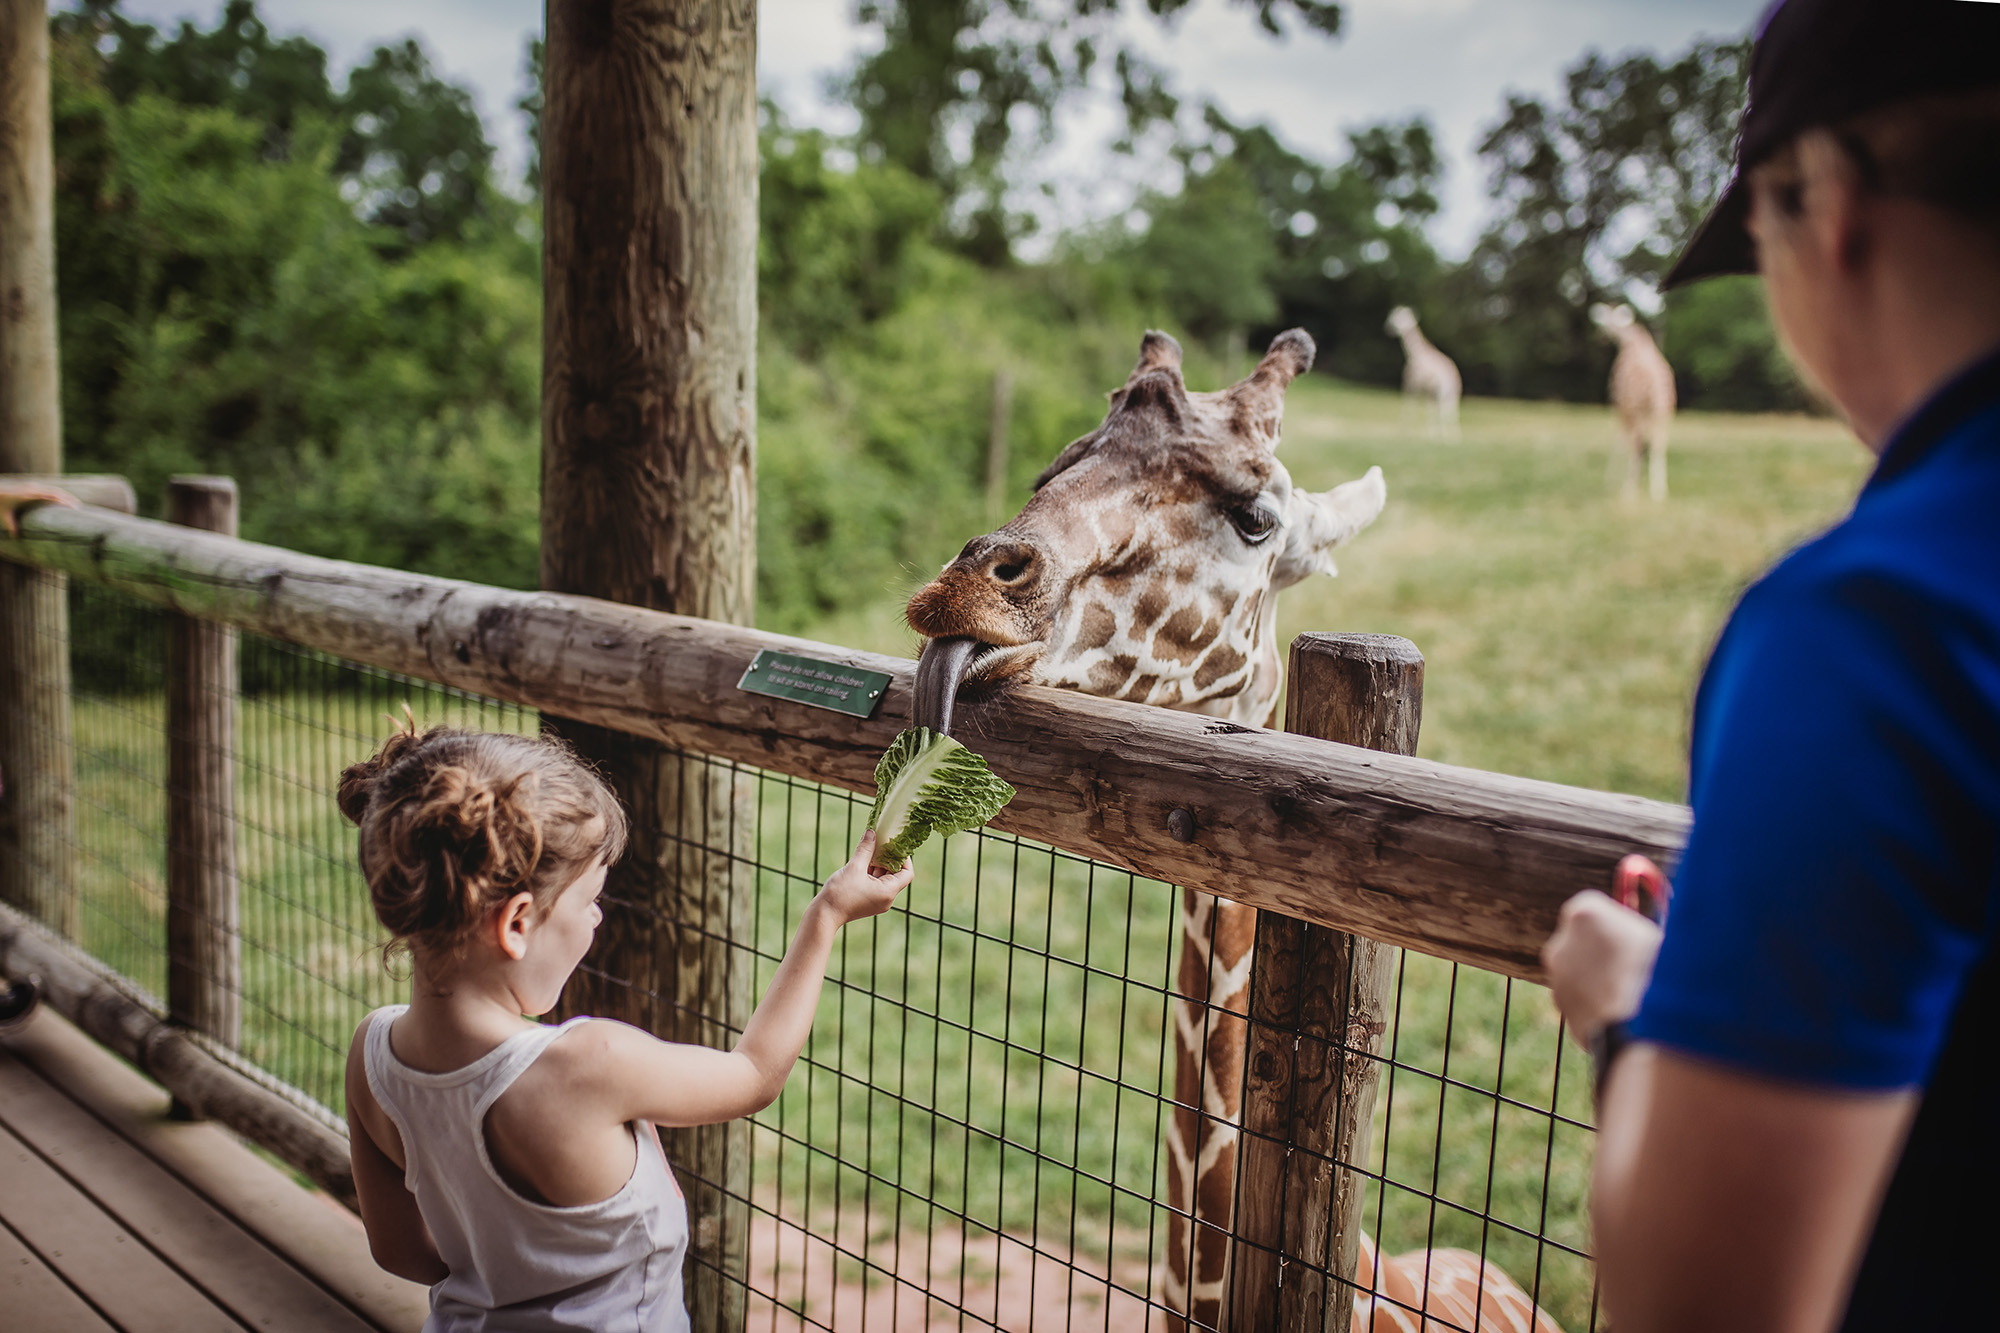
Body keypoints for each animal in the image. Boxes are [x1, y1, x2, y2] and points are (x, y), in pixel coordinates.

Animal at [1384, 304, 1464, 436]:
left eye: (1399, 318)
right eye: (1392, 316)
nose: (1387, 328)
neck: (1414, 354)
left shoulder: (1410, 384)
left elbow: (1409, 405)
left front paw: (1404, 432)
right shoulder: (1424, 390)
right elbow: (1422, 409)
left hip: (1440, 393)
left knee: (1441, 412)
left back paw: (1439, 434)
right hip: (1452, 393)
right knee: (1450, 413)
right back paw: (1451, 436)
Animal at [1592, 300, 1672, 498]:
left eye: (1607, 318)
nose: (1602, 333)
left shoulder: (1619, 401)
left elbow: (1621, 439)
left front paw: (1611, 480)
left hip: (1636, 408)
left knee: (1636, 443)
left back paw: (1629, 491)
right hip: (1663, 410)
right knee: (1657, 444)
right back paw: (1658, 492)